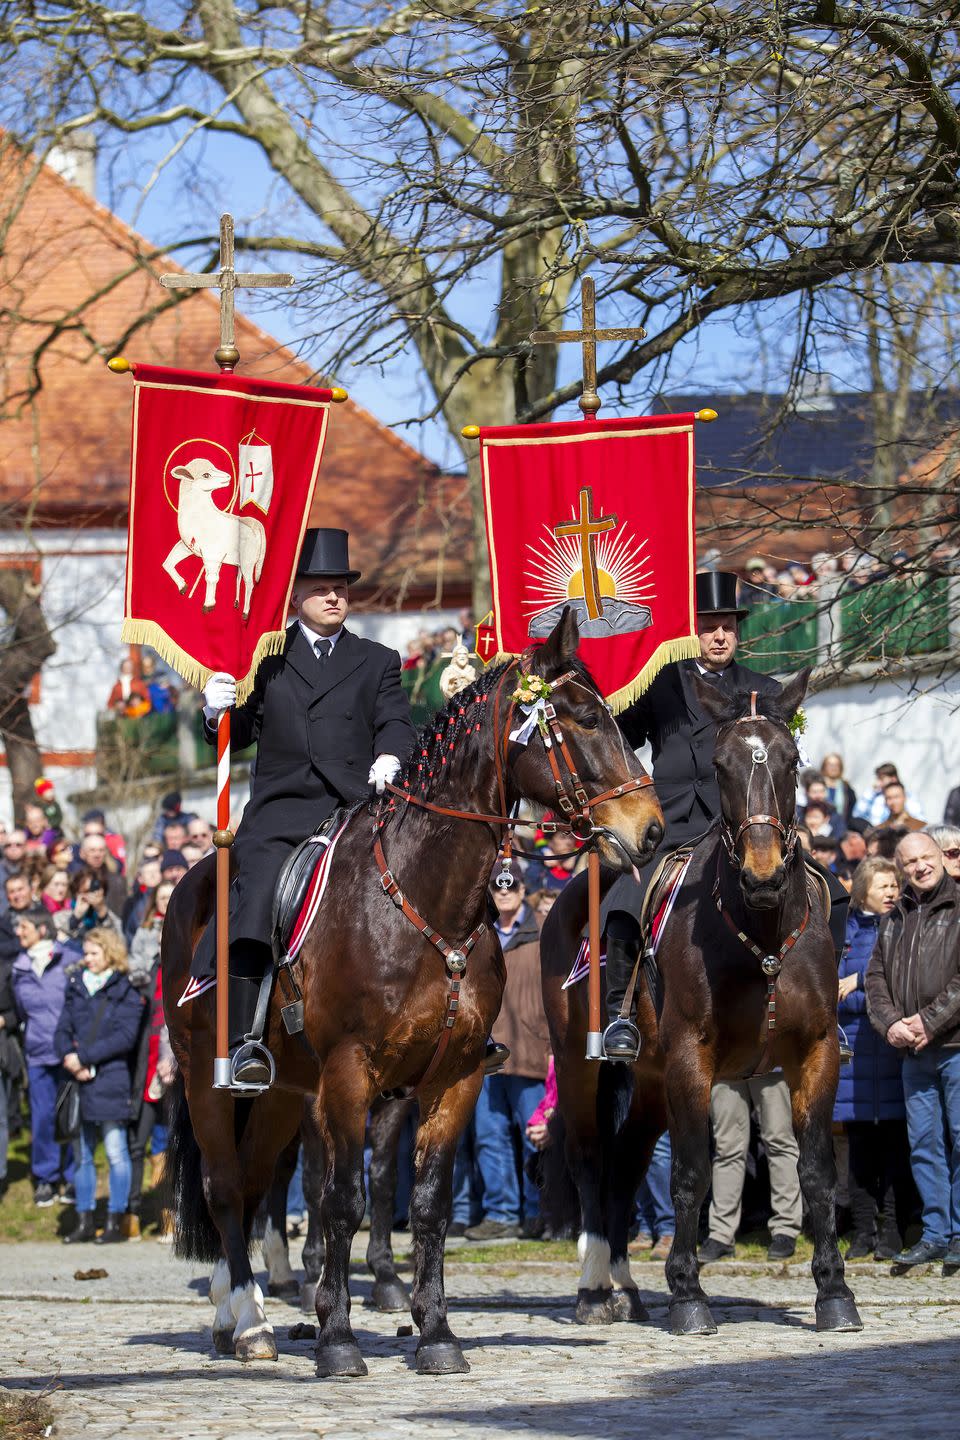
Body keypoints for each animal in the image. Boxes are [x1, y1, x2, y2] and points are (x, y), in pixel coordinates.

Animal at [165, 607, 664, 1370]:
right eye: (580, 719)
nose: (650, 830)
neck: (426, 898)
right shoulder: (347, 1074)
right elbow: (340, 1196)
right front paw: (338, 1337)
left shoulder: (451, 1076)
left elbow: (425, 1203)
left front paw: (435, 1332)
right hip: (206, 1077)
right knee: (224, 1188)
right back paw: (248, 1321)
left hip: (279, 1092)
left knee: (251, 1185)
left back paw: (238, 1315)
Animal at [541, 673, 863, 1336]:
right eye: (721, 764)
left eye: (792, 760)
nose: (764, 874)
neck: (760, 931)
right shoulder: (692, 1059)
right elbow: (691, 1172)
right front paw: (689, 1294)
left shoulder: (816, 1053)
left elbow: (816, 1171)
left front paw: (834, 1292)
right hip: (584, 1066)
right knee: (590, 1162)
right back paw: (594, 1290)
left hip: (648, 1082)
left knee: (625, 1169)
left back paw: (625, 1288)